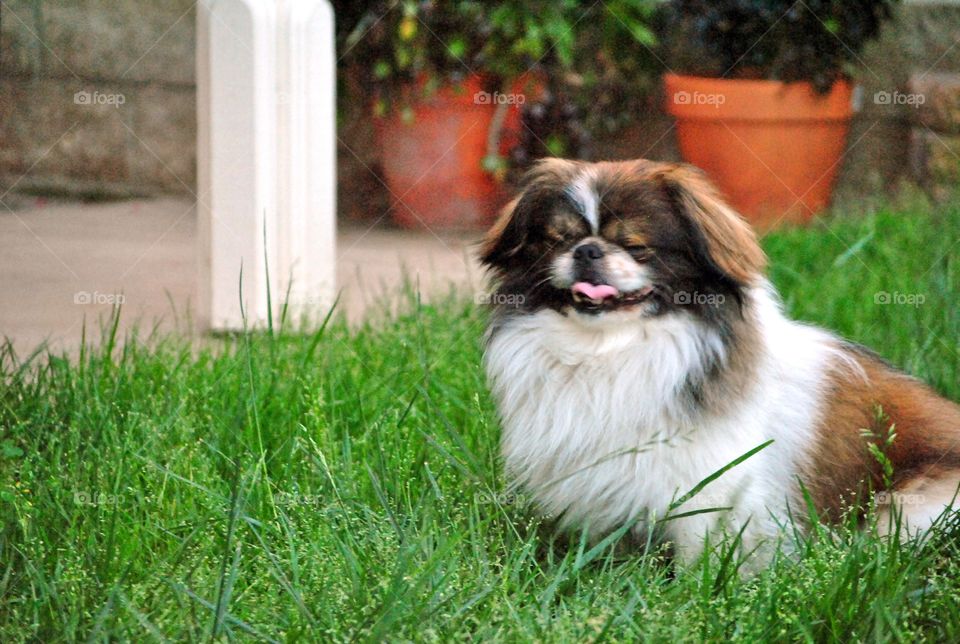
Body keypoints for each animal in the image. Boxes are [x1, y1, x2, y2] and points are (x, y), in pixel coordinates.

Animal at [480, 157, 960, 564]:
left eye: (635, 247)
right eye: (558, 240)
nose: (587, 250)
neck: (611, 347)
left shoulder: (710, 490)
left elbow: (700, 552)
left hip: (913, 509)